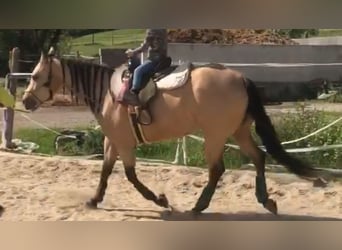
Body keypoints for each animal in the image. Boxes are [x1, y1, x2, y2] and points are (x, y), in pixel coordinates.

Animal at [21, 47, 326, 215]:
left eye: (35, 76)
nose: (25, 101)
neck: (107, 93)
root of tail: (240, 77)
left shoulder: (125, 143)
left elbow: (130, 175)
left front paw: (160, 200)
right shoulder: (113, 140)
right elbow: (106, 171)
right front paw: (94, 200)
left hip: (215, 136)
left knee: (217, 170)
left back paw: (199, 206)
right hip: (238, 131)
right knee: (259, 158)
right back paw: (265, 201)